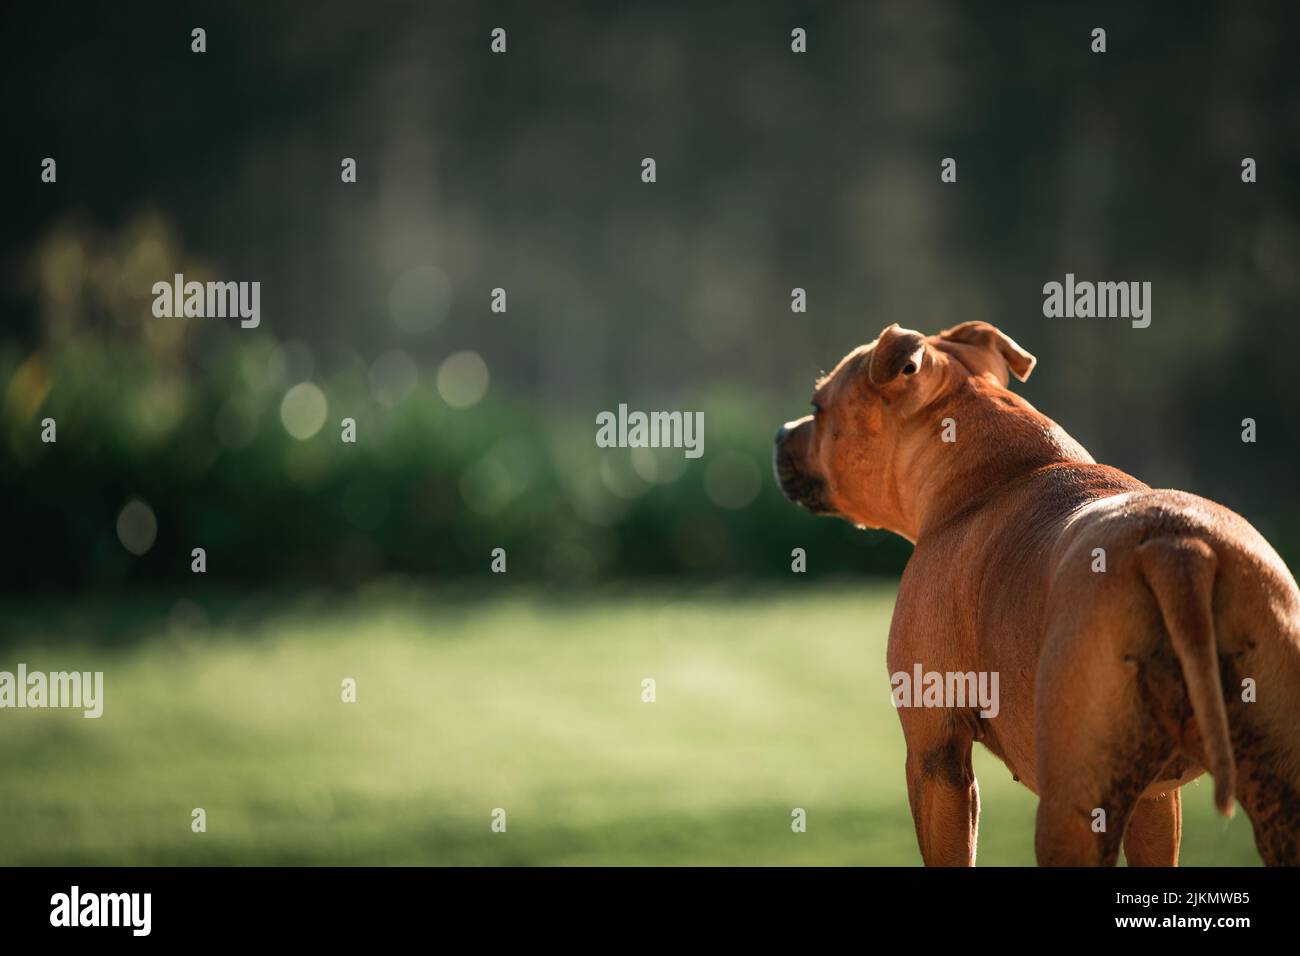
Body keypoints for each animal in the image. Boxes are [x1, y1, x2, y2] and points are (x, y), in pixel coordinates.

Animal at [774, 321, 1300, 868]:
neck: (998, 472)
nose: (779, 433)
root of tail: (1178, 547)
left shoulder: (936, 760)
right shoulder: (1156, 797)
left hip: (1070, 809)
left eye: (817, 406)